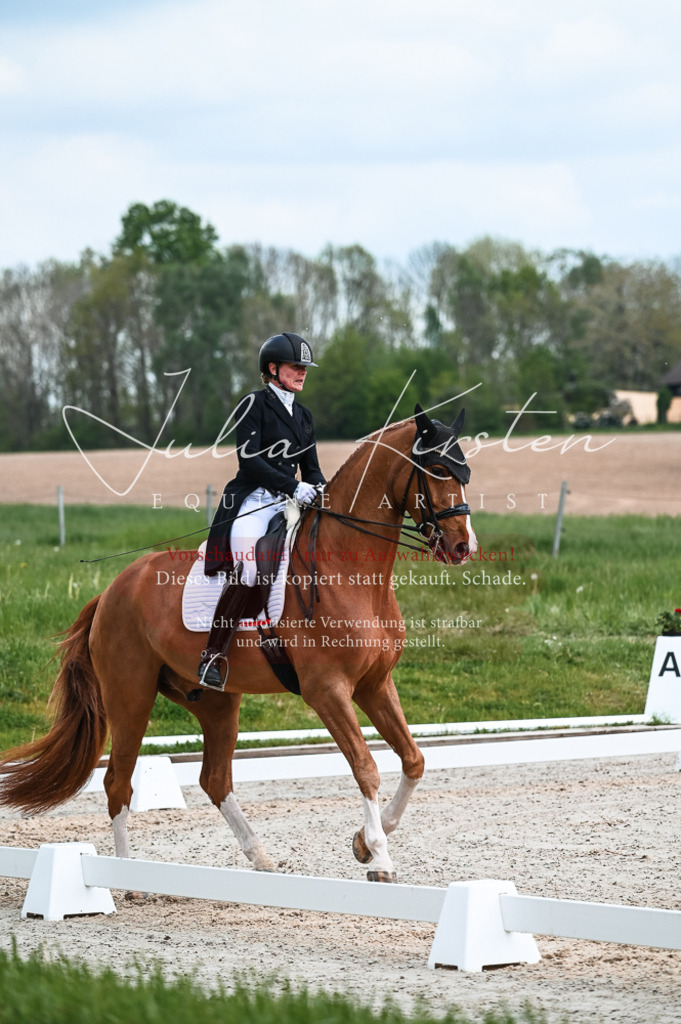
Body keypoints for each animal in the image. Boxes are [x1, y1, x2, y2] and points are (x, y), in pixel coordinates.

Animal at [0, 405, 476, 882]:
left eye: (465, 473)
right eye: (437, 470)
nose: (462, 546)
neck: (348, 572)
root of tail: (112, 590)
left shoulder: (375, 684)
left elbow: (413, 759)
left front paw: (363, 843)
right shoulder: (327, 690)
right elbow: (365, 766)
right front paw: (378, 856)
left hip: (214, 701)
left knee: (214, 779)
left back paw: (260, 857)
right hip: (129, 696)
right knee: (118, 779)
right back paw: (128, 877)